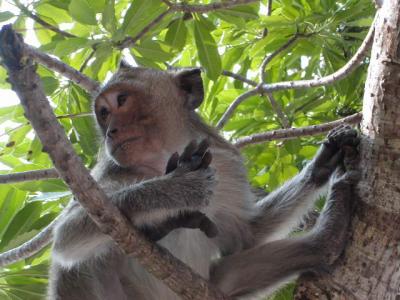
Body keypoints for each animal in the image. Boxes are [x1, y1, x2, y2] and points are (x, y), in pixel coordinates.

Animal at [47, 62, 360, 298]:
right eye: (103, 113)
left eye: (121, 101)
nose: (111, 131)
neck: (164, 157)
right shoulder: (109, 174)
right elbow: (68, 236)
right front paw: (178, 186)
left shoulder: (227, 165)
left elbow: (244, 236)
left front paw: (322, 165)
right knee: (77, 263)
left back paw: (327, 238)